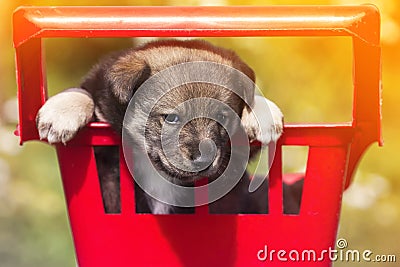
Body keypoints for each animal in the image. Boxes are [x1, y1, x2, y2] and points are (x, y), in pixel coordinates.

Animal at [36, 40, 290, 216]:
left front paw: (262, 111)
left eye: (222, 116)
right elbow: (84, 92)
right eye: (171, 118)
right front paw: (62, 110)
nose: (204, 158)